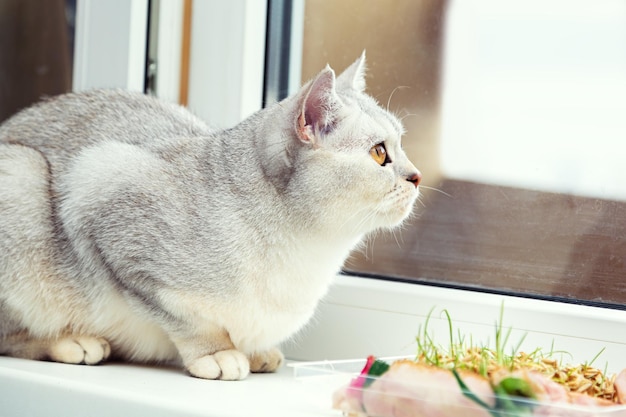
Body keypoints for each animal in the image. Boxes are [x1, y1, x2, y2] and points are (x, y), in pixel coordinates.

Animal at [1, 53, 420, 378]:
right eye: (380, 153)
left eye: (401, 143)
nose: (416, 177)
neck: (309, 256)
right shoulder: (104, 199)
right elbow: (190, 322)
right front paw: (218, 354)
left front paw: (256, 352)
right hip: (22, 179)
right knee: (11, 338)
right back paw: (71, 341)